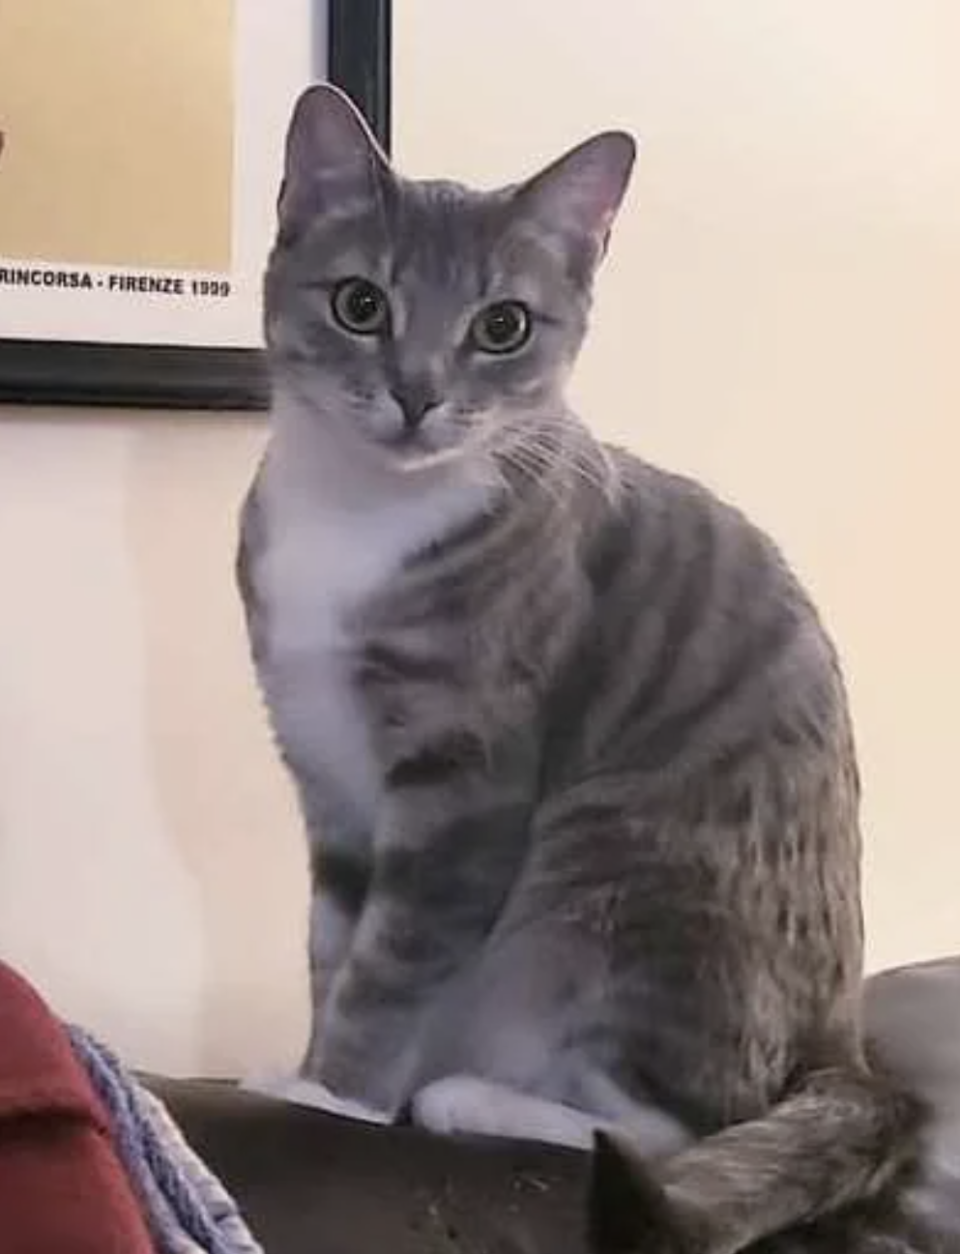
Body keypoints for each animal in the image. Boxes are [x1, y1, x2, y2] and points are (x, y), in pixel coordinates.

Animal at [238, 88, 917, 1254]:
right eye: (361, 303)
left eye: (502, 325)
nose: (416, 395)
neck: (362, 515)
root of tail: (846, 1047)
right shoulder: (325, 779)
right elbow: (336, 943)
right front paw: (319, 1067)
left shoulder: (468, 787)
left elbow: (391, 959)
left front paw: (335, 1094)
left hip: (620, 872)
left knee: (673, 1124)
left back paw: (472, 1098)